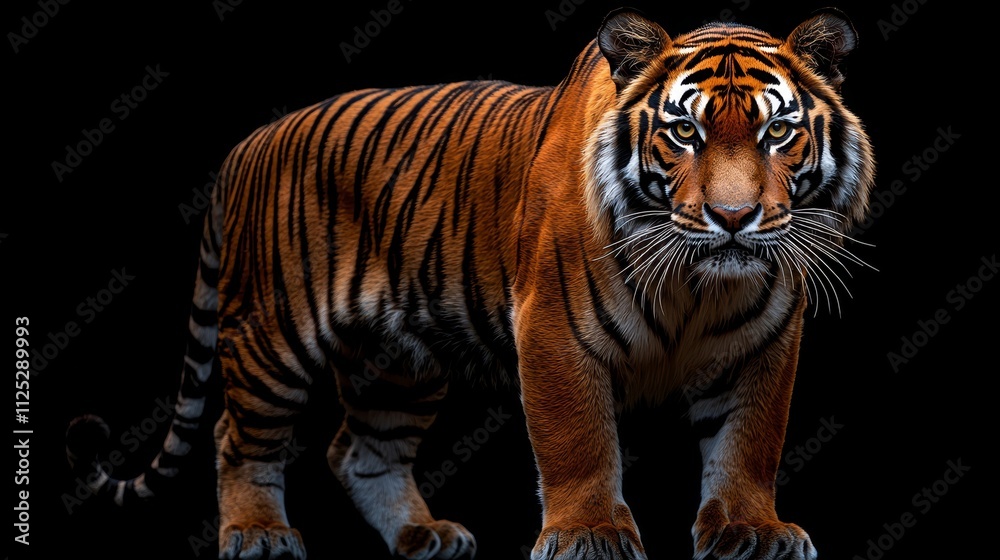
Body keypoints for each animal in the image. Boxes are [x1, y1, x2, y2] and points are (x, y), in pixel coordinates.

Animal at [66, 7, 875, 560]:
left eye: (776, 132)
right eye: (685, 133)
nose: (733, 219)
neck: (697, 284)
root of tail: (245, 145)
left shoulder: (764, 344)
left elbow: (749, 441)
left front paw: (751, 530)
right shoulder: (553, 329)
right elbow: (578, 441)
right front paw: (589, 536)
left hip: (397, 362)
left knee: (359, 450)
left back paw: (424, 535)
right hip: (273, 335)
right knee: (238, 436)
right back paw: (259, 534)